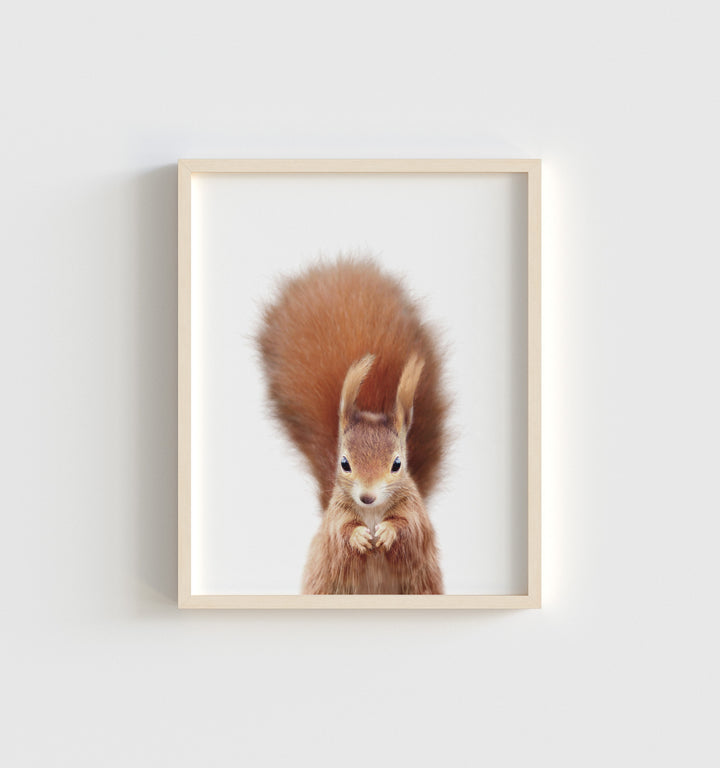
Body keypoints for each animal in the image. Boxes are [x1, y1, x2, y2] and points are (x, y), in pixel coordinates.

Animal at [256, 256, 449, 595]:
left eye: (397, 464)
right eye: (344, 462)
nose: (367, 497)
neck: (372, 512)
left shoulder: (415, 514)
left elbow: (408, 528)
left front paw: (387, 532)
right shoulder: (336, 517)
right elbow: (341, 531)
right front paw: (359, 536)